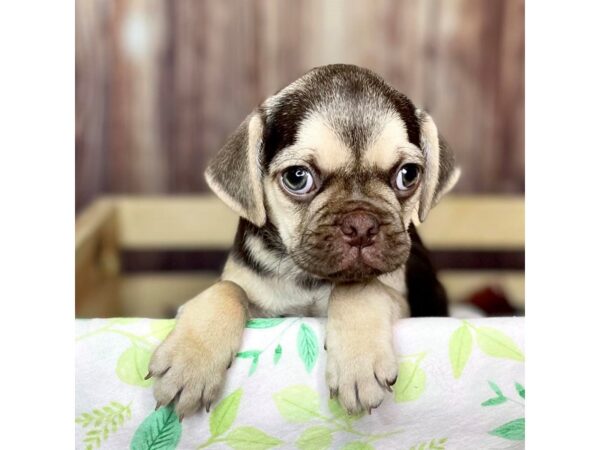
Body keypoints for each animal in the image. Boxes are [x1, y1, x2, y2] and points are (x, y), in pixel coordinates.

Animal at [149, 65, 460, 420]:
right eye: (297, 177)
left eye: (408, 175)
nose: (361, 223)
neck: (309, 278)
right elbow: (228, 288)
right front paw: (189, 361)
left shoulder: (402, 302)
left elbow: (358, 287)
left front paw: (358, 363)